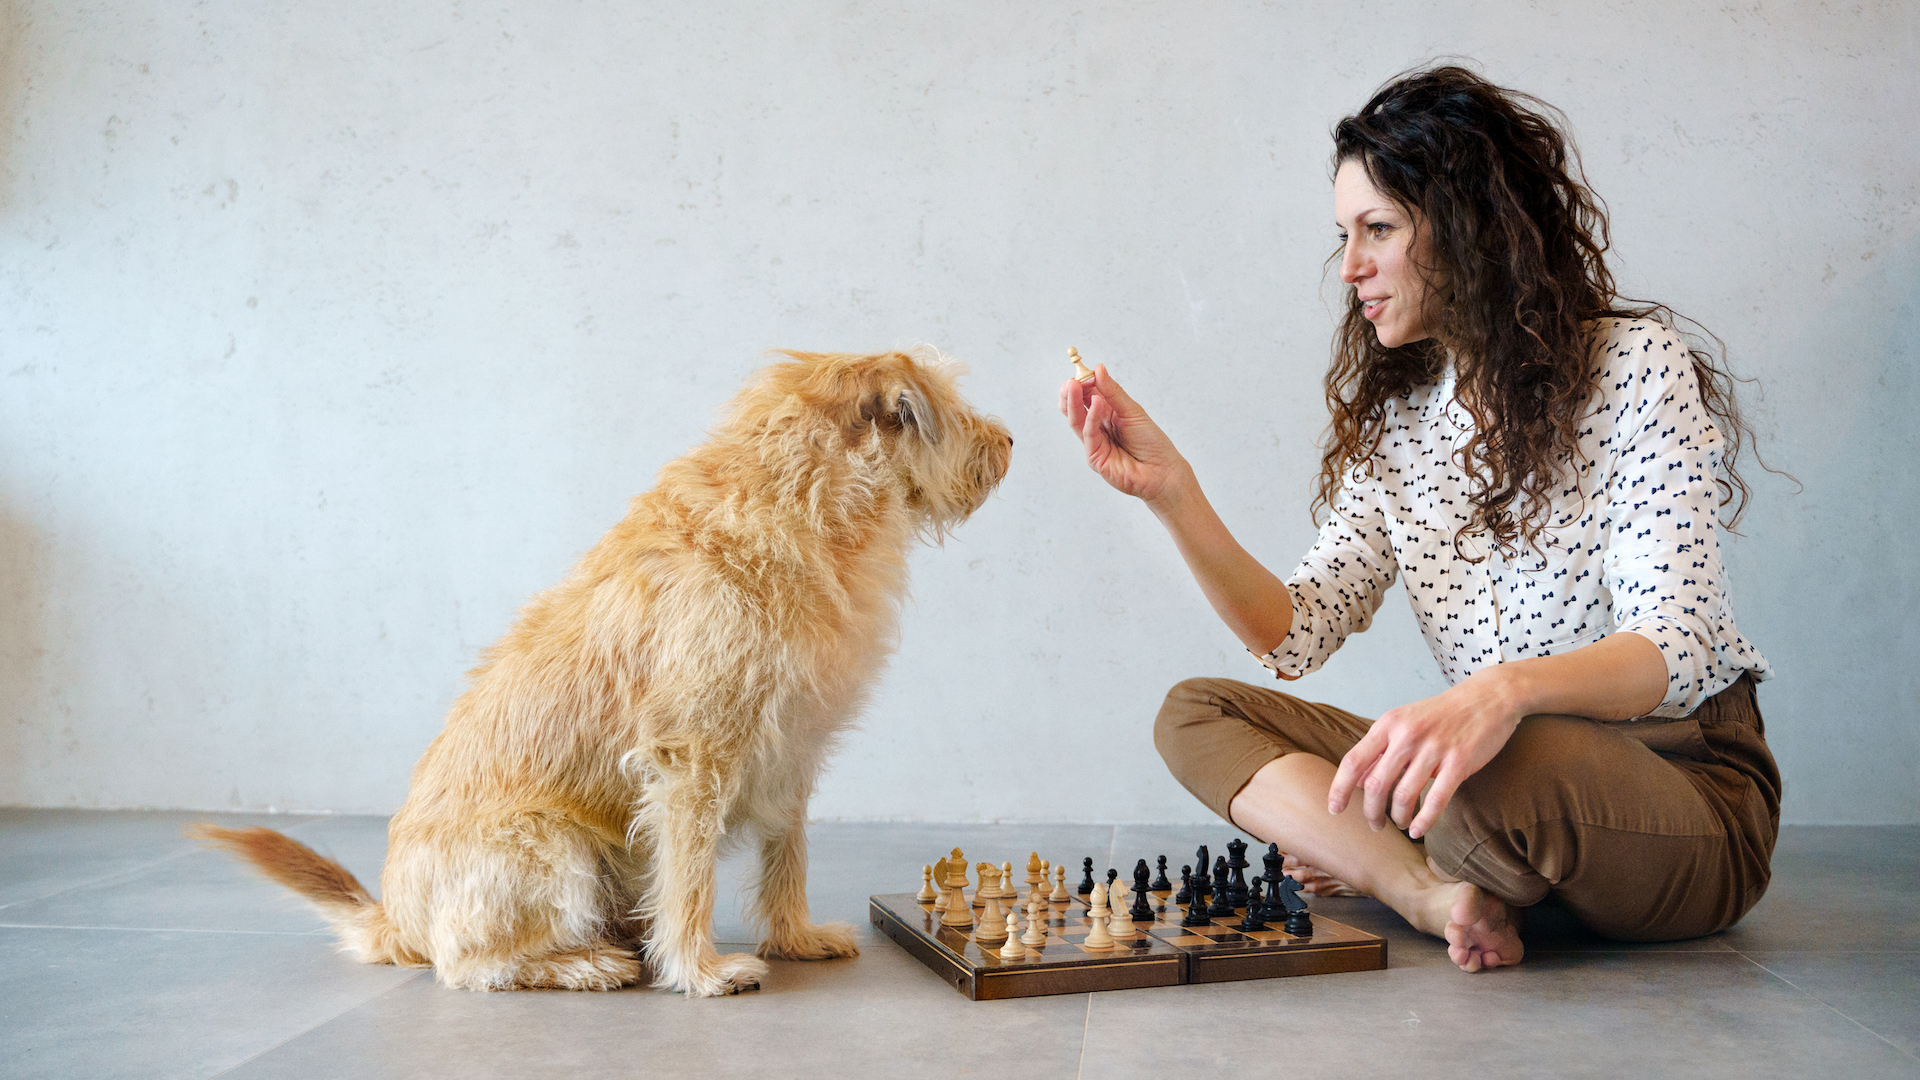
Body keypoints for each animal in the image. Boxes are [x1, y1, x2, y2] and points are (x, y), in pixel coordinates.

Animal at [187, 345, 1013, 991]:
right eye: (950, 403)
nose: (1008, 439)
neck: (799, 507)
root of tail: (398, 920)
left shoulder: (793, 753)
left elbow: (789, 854)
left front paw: (795, 939)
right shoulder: (691, 762)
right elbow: (690, 879)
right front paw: (702, 970)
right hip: (556, 850)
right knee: (470, 966)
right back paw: (585, 964)